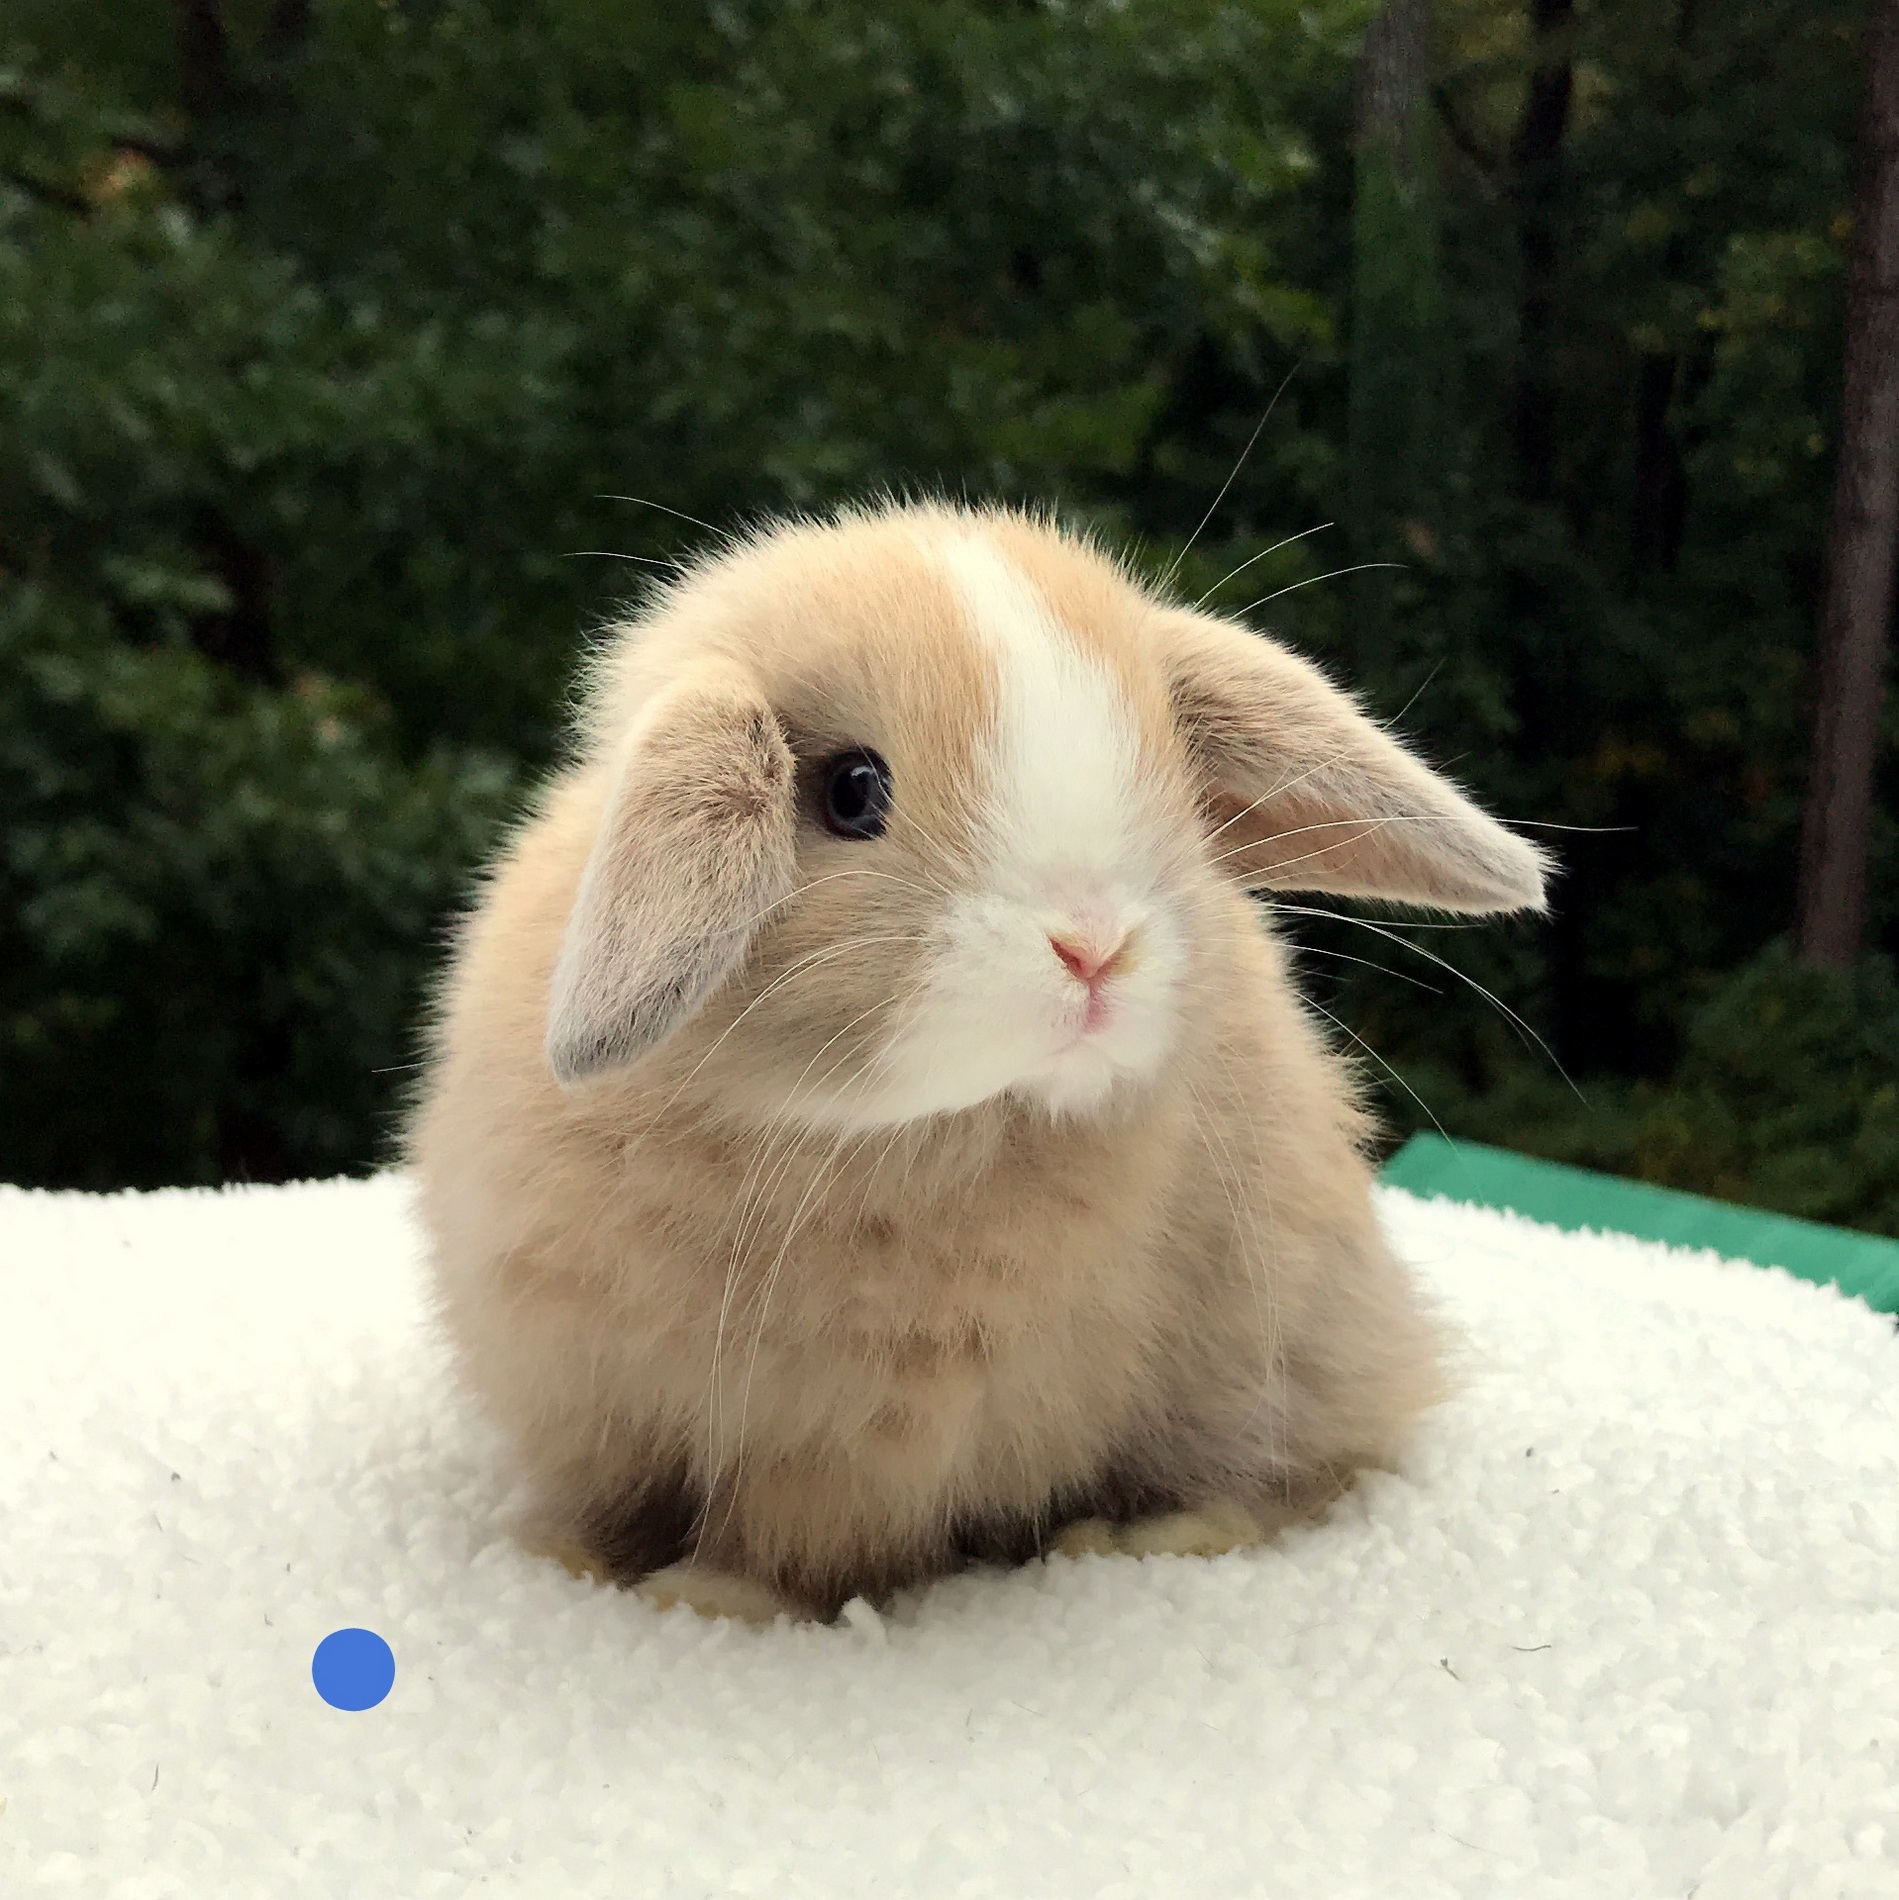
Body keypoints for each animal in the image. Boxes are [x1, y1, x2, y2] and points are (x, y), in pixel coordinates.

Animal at [408, 497, 1551, 1626]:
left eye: (1176, 787)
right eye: (851, 791)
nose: (1094, 945)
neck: (830, 1135)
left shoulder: (855, 1446)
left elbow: (790, 1544)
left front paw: (711, 1599)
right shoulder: (582, 1391)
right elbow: (601, 1498)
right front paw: (558, 1561)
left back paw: (1144, 1534)